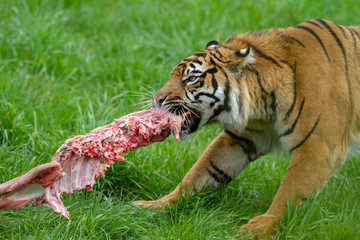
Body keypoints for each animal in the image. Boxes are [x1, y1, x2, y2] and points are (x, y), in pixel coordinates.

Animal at [132, 19, 360, 238]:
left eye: (191, 79)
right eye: (173, 75)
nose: (157, 99)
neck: (265, 103)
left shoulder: (318, 147)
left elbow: (290, 190)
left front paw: (261, 228)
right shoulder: (240, 139)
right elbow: (200, 173)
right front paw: (154, 207)